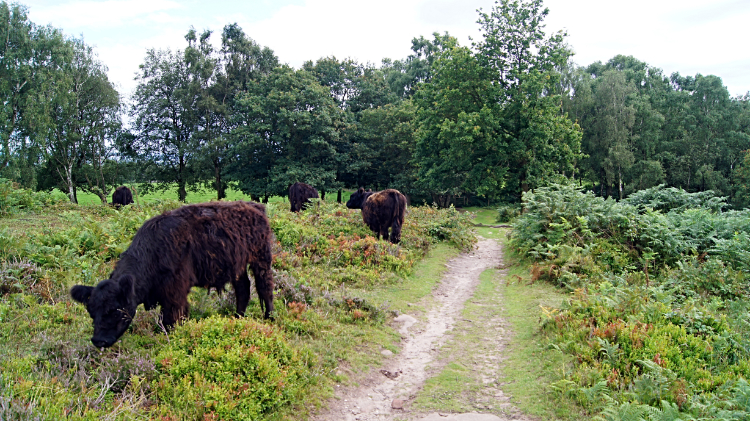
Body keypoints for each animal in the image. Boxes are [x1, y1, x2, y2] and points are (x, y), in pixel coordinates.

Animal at [70, 201, 276, 348]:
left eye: (114, 310)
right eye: (91, 311)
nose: (99, 341)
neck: (153, 251)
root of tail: (255, 206)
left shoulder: (175, 292)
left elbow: (171, 318)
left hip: (261, 259)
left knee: (265, 288)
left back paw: (270, 318)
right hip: (237, 266)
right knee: (243, 289)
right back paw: (238, 318)